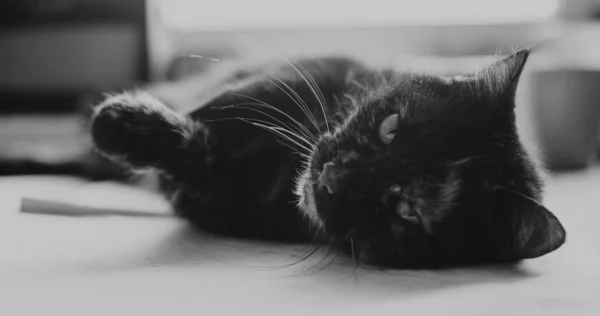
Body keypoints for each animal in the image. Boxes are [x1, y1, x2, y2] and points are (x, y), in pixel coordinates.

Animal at [89, 49, 564, 270]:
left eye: (406, 209)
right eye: (390, 126)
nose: (333, 174)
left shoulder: (213, 198)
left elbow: (195, 162)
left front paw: (124, 126)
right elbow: (216, 112)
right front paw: (120, 121)